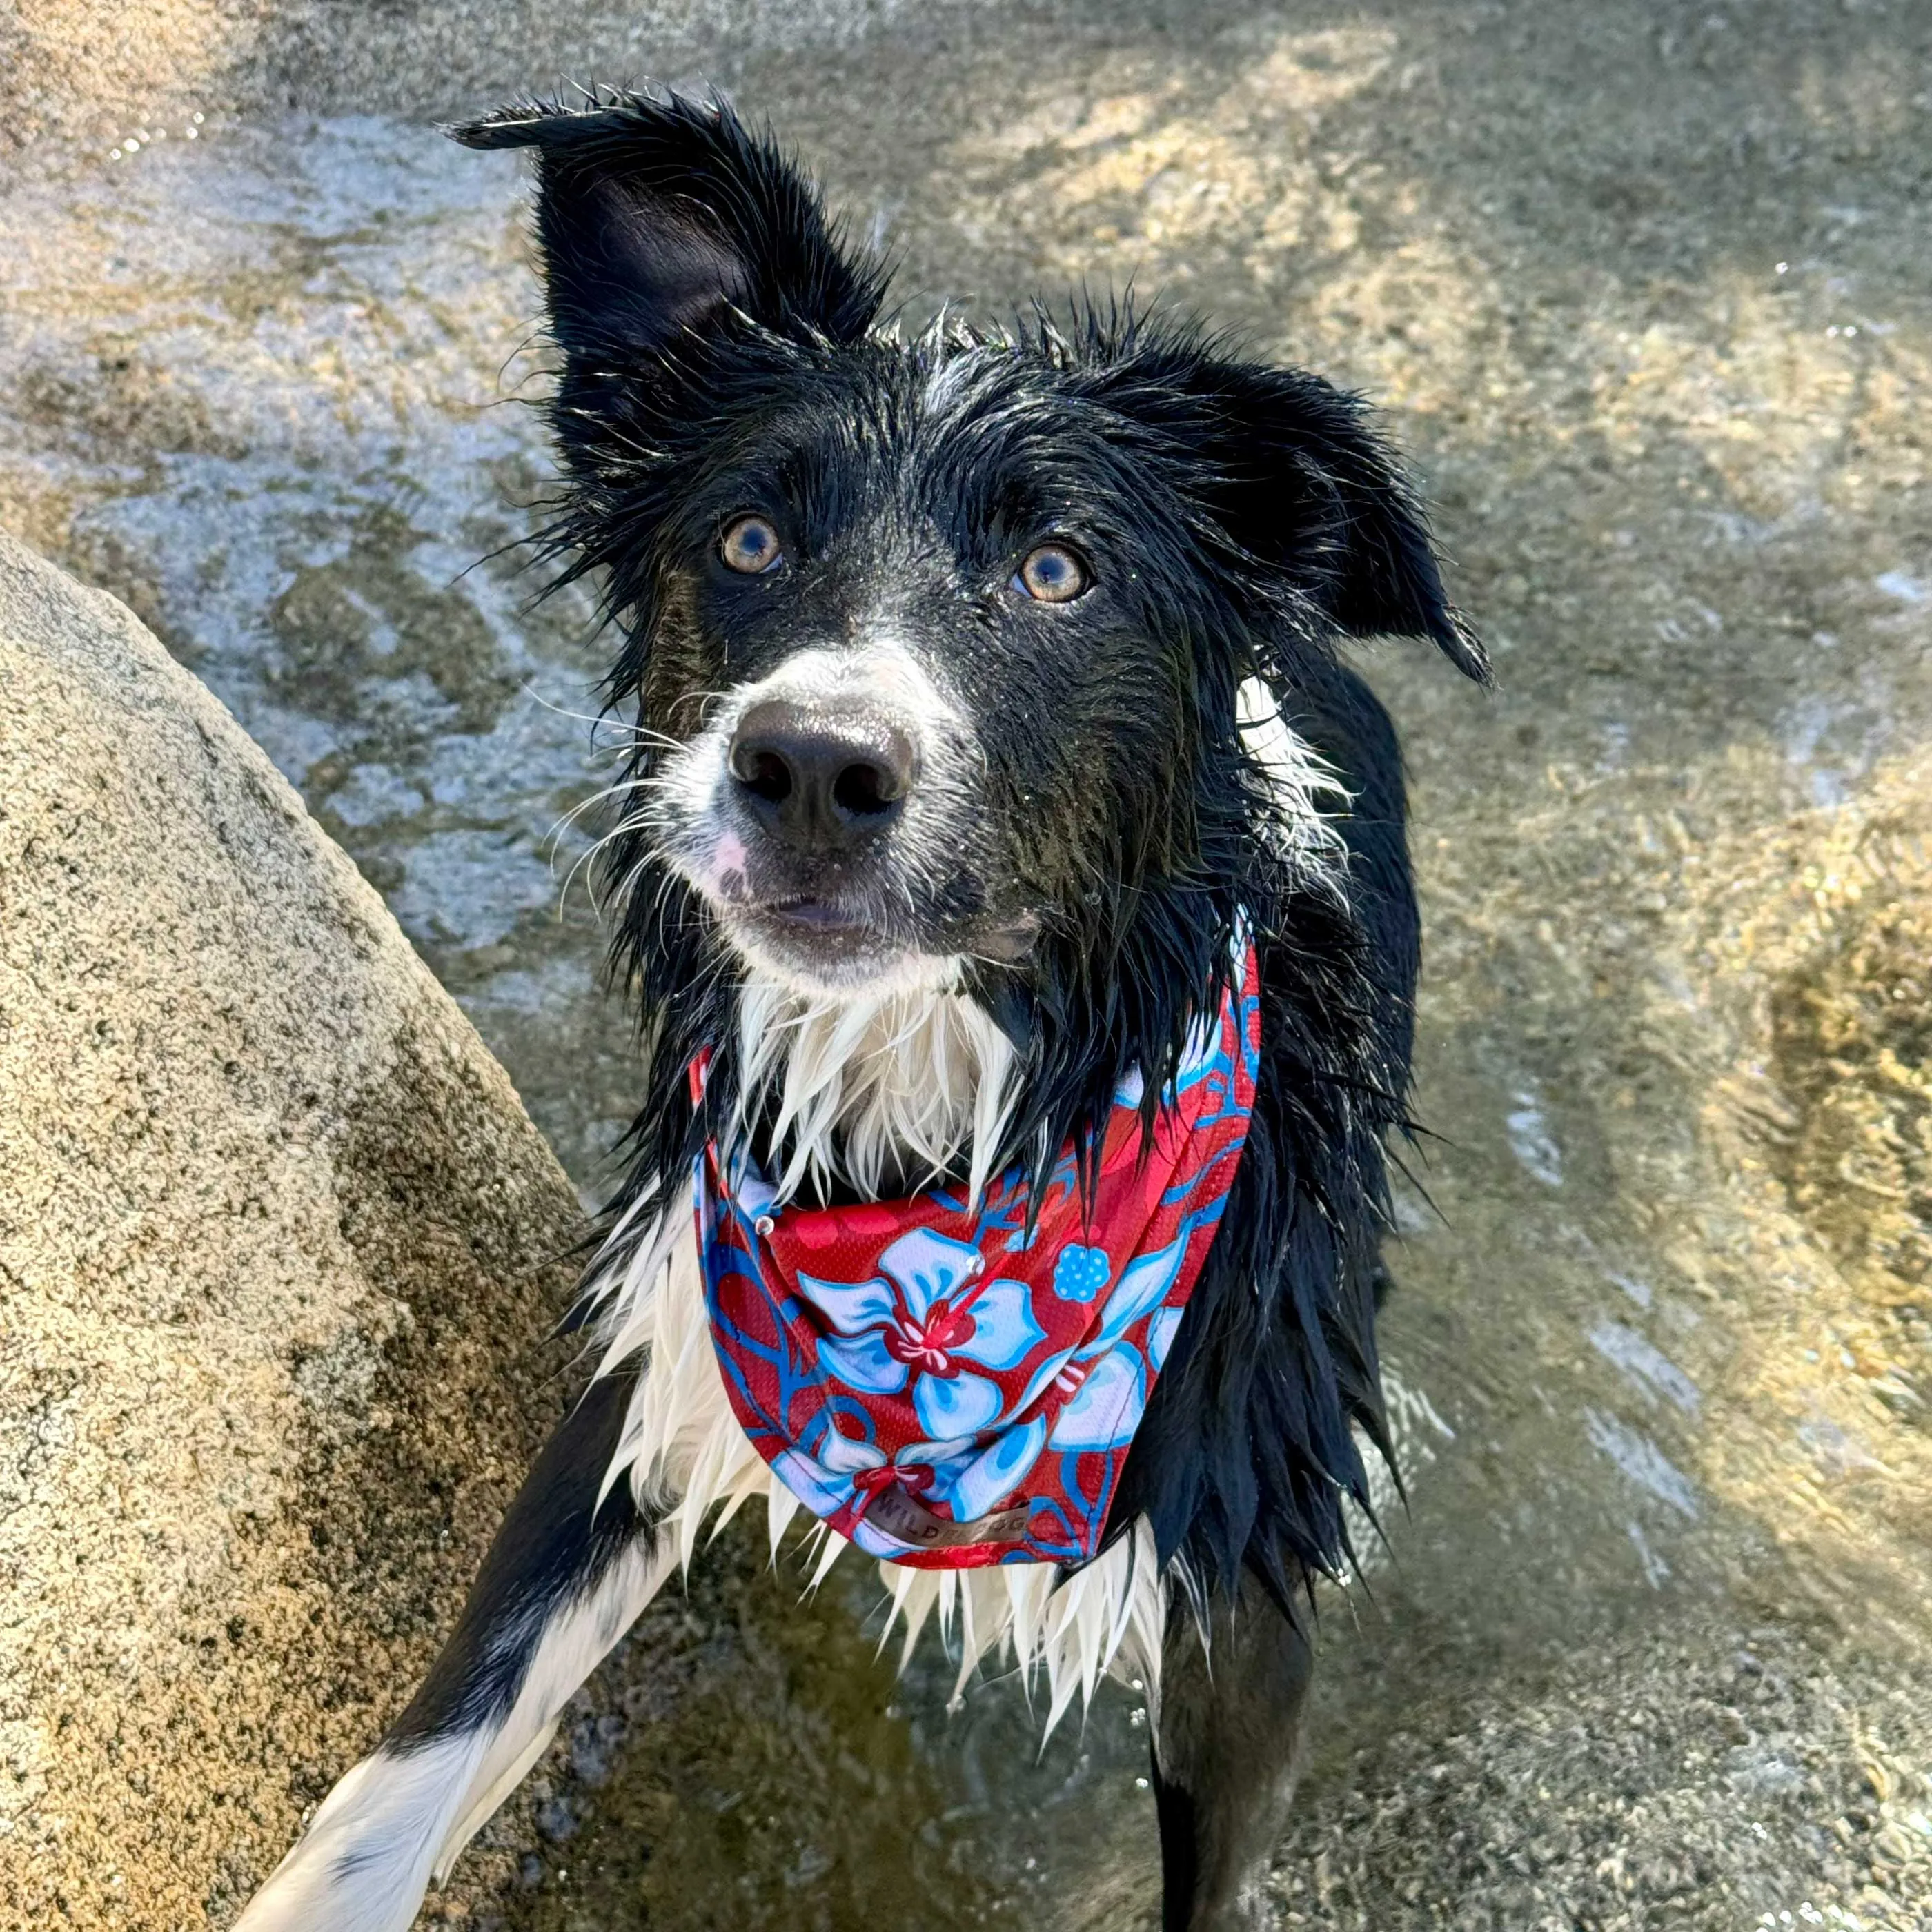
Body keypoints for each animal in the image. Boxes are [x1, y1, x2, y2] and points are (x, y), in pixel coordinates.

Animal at [233, 90, 1483, 1932]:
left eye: (1057, 569)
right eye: (749, 538)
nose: (813, 764)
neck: (938, 1131)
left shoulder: (1239, 1613)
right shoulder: (661, 1357)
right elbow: (405, 1776)